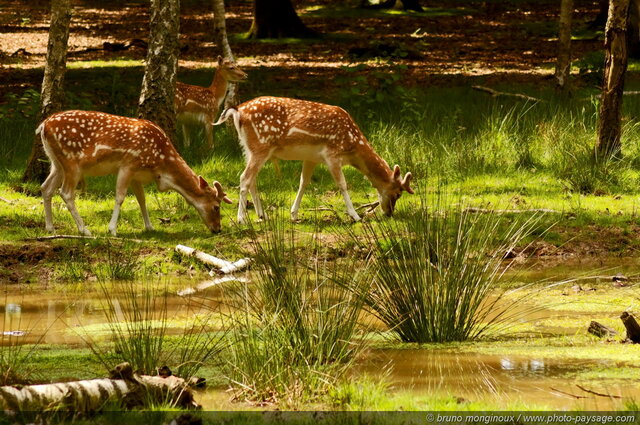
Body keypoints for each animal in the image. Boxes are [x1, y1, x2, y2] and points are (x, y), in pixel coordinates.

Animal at [38, 109, 232, 235]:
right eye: (216, 207)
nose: (217, 229)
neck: (160, 165)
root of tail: (43, 126)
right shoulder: (128, 164)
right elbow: (120, 196)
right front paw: (112, 229)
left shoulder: (137, 174)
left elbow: (142, 198)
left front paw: (150, 227)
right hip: (72, 162)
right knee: (65, 192)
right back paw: (84, 230)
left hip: (56, 163)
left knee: (46, 188)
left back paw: (50, 228)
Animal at [215, 95, 416, 222]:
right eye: (398, 193)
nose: (389, 213)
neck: (352, 145)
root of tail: (238, 111)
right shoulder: (332, 154)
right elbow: (342, 185)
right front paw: (355, 216)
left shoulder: (312, 158)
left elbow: (304, 182)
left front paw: (294, 214)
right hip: (261, 146)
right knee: (245, 177)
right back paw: (241, 219)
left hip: (249, 148)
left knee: (252, 180)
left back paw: (261, 215)